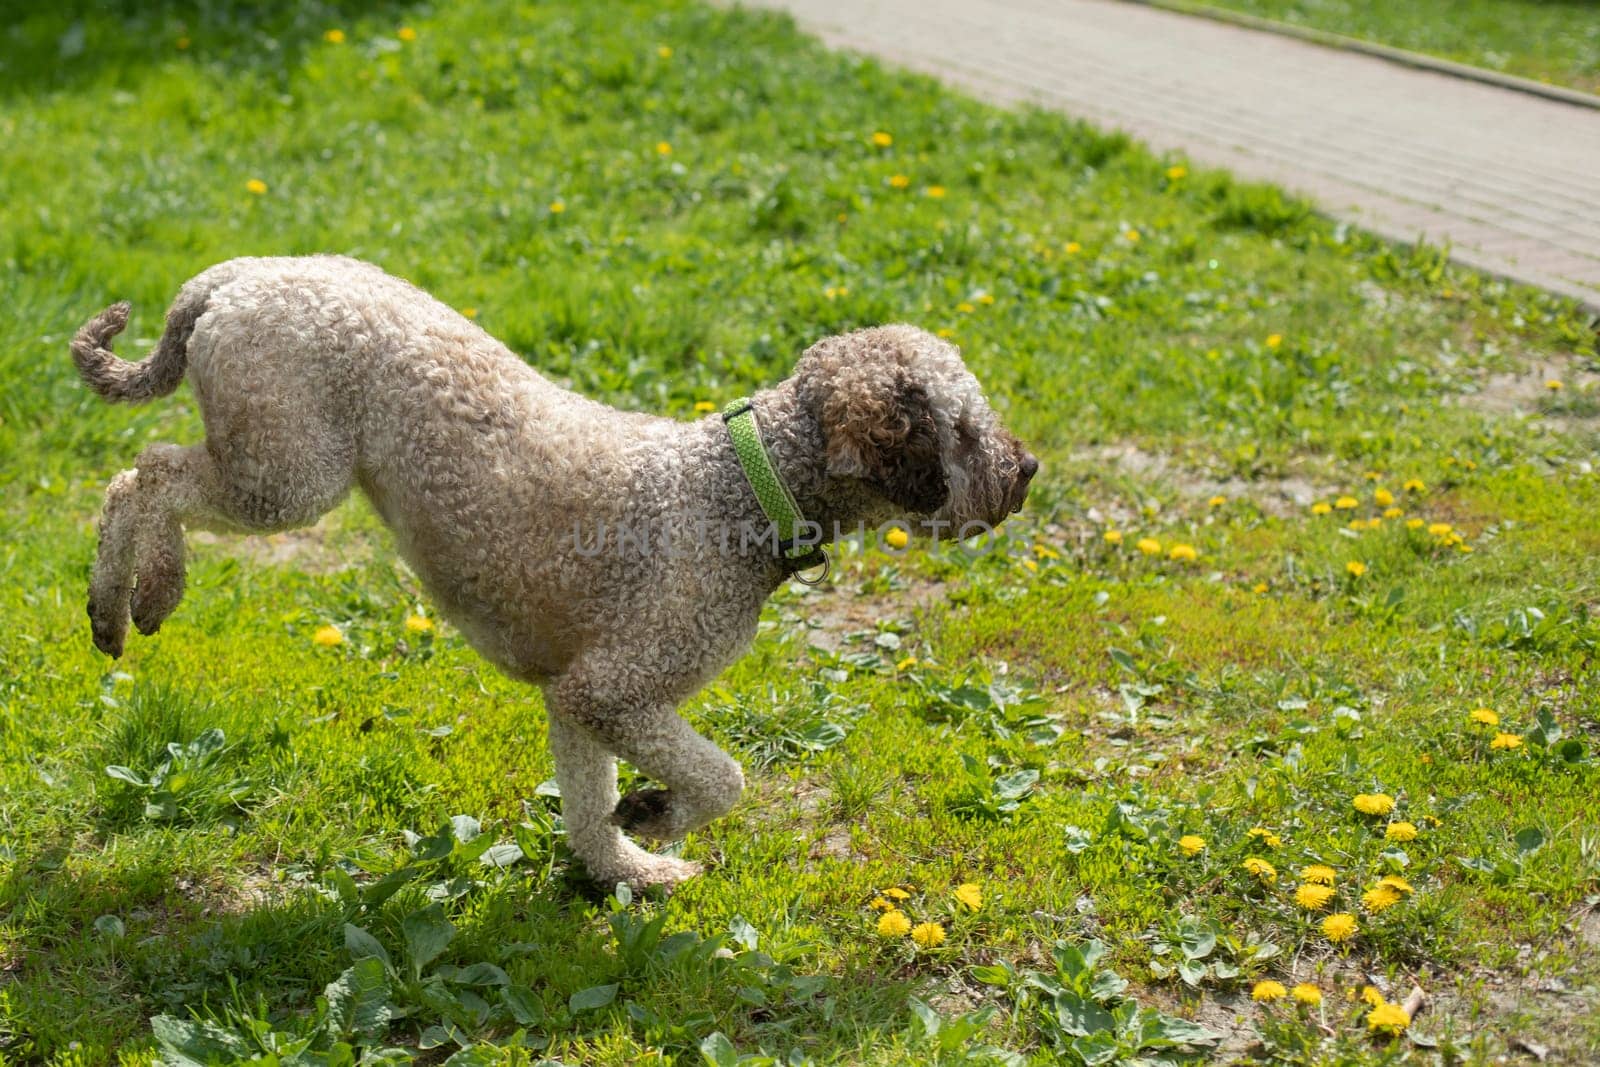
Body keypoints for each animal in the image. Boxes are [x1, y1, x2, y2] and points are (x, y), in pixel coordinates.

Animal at [72, 254, 1036, 889]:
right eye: (962, 427)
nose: (1026, 469)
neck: (743, 484)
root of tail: (234, 276)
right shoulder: (617, 689)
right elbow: (723, 776)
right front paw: (657, 817)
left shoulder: (577, 700)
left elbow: (585, 805)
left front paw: (628, 867)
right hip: (288, 474)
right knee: (146, 474)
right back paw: (141, 595)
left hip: (274, 463)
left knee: (144, 475)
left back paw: (123, 602)